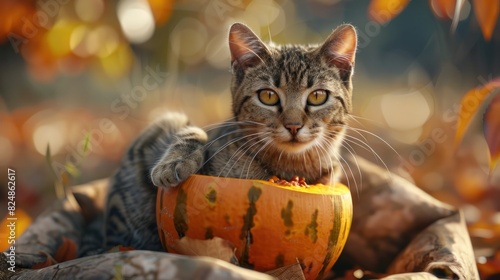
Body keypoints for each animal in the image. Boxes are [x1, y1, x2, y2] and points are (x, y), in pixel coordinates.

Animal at [104, 23, 356, 252]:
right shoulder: (180, 125)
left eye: (317, 96)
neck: (289, 166)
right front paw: (173, 163)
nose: (293, 126)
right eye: (268, 96)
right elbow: (194, 132)